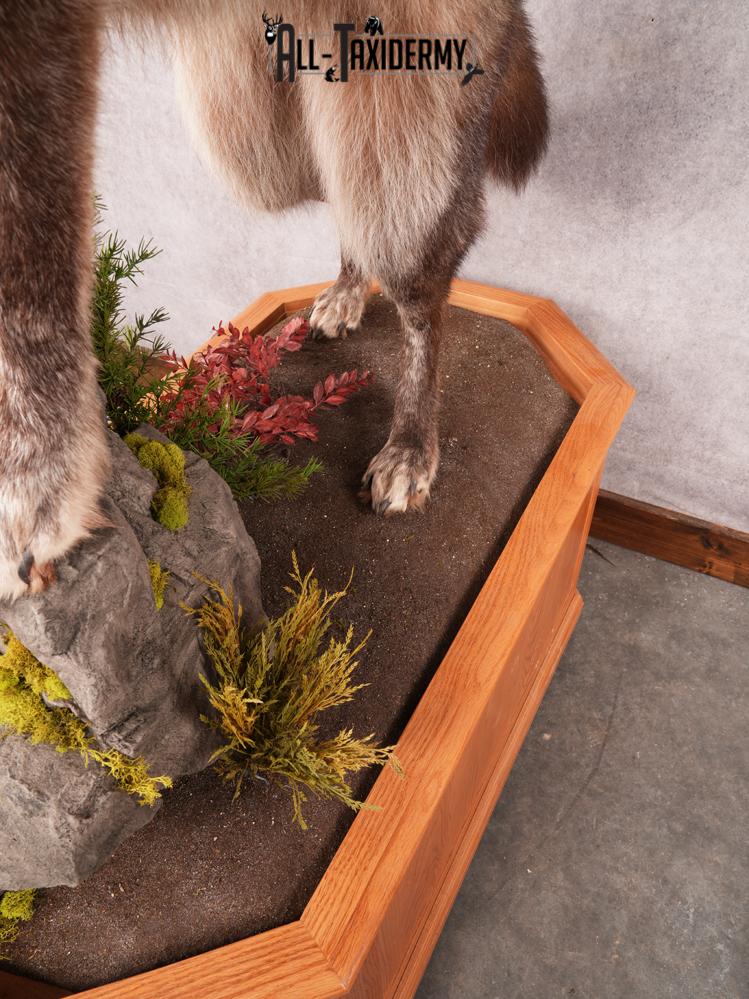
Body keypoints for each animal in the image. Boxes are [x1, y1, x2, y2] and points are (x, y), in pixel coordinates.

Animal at [0, 0, 548, 600]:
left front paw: (36, 489)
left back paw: (411, 436)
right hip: (252, 103)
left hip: (404, 83)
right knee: (325, 177)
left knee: (407, 230)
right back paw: (349, 285)